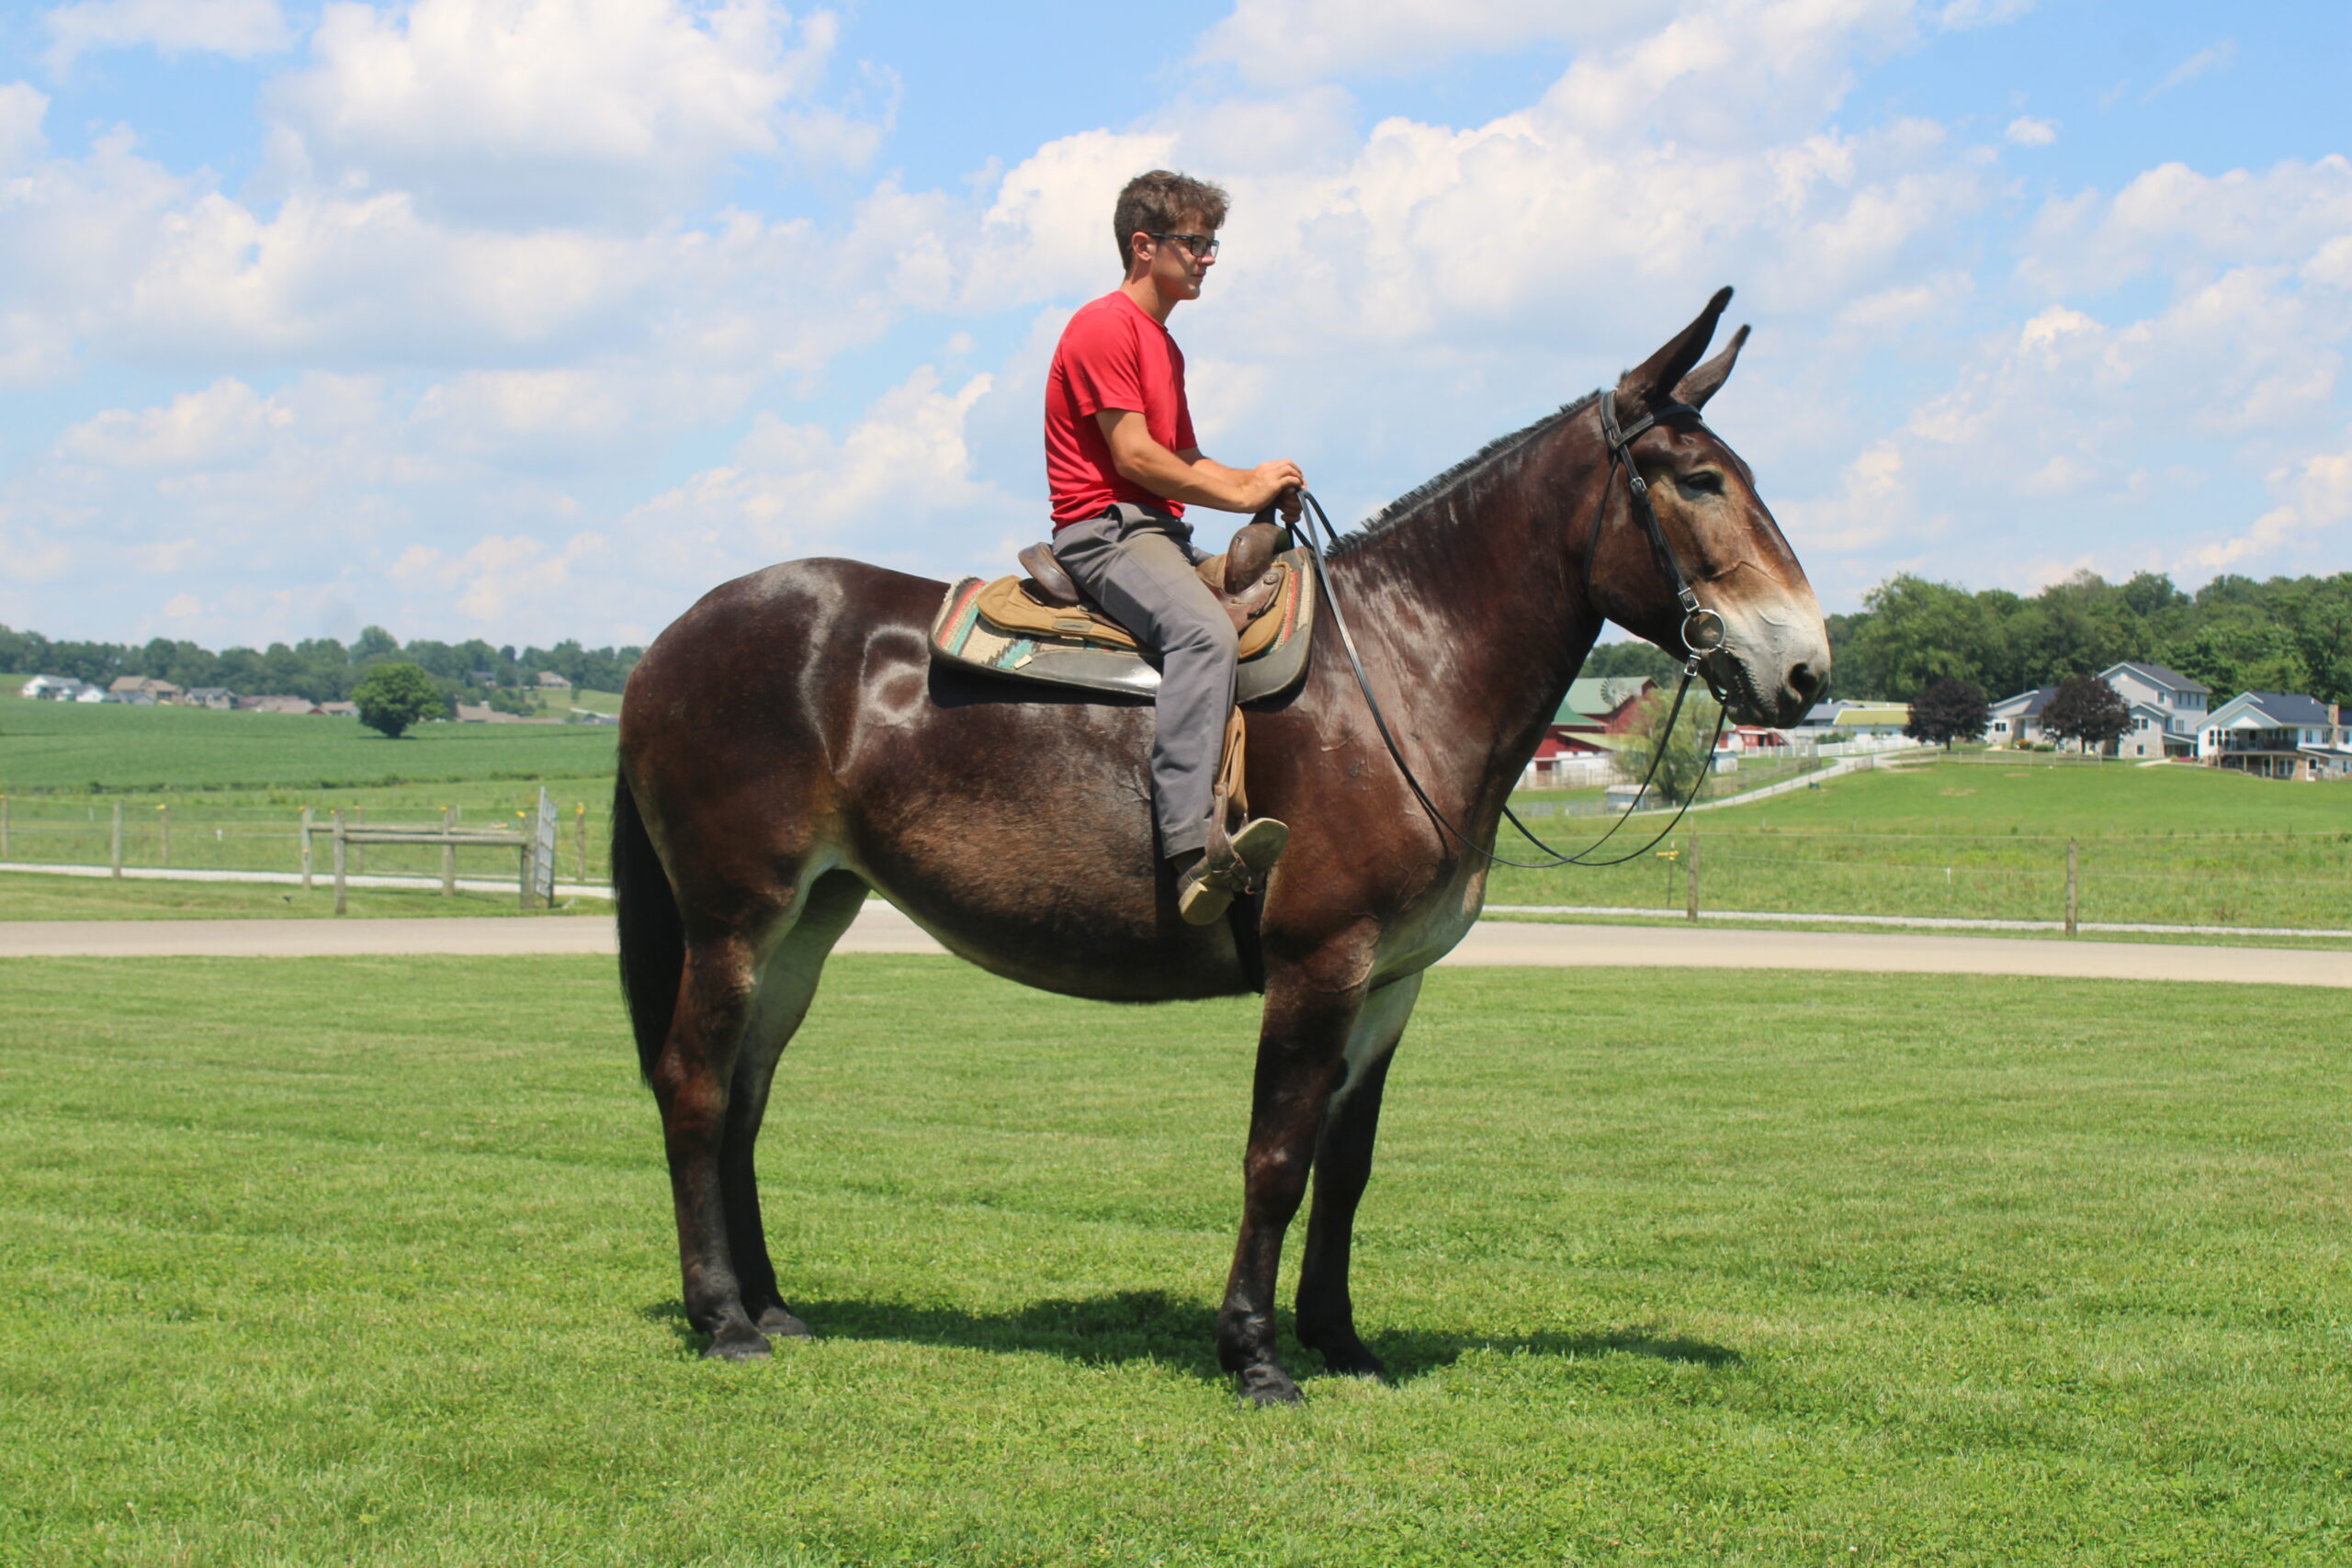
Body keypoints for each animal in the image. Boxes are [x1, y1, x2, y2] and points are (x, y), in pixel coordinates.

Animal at [612, 287, 1830, 1404]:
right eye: (1699, 480)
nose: (1806, 668)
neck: (1399, 671)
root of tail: (669, 641)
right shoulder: (1316, 965)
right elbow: (1276, 1160)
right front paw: (1255, 1354)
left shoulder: (1390, 982)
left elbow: (1347, 1166)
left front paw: (1342, 1341)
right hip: (733, 920)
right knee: (695, 1087)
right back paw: (723, 1319)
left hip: (810, 920)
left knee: (747, 1096)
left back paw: (774, 1304)